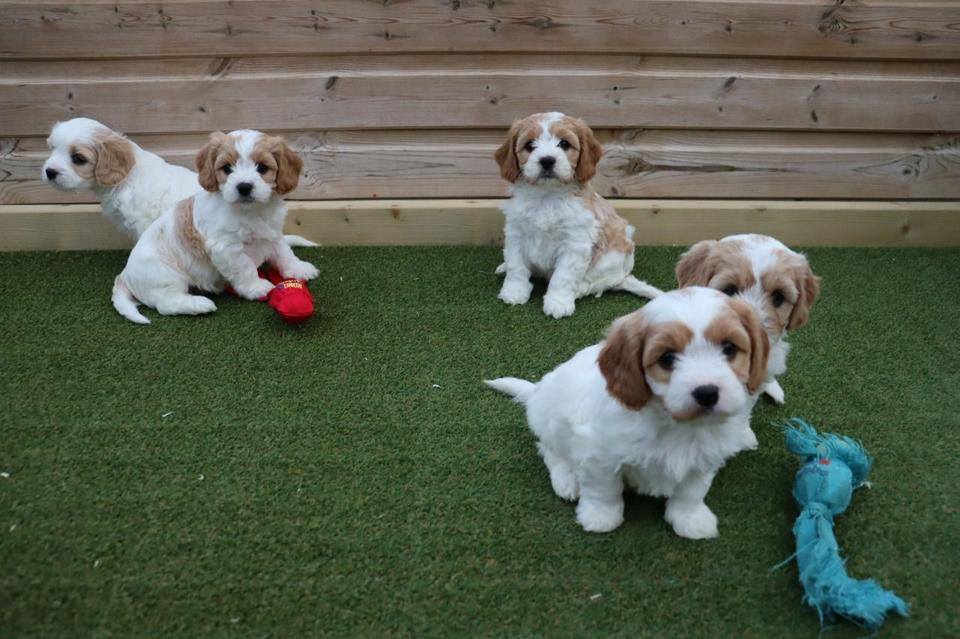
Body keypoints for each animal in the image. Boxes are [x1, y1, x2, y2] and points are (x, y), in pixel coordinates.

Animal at [113, 131, 320, 324]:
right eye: (227, 168)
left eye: (262, 167)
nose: (244, 186)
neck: (251, 212)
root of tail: (125, 274)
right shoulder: (227, 248)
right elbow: (245, 268)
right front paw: (256, 287)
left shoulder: (273, 234)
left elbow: (284, 253)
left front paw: (299, 268)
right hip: (165, 277)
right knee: (166, 304)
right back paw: (199, 304)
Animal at [488, 288, 764, 536]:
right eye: (667, 358)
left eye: (729, 348)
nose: (707, 393)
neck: (675, 424)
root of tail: (537, 391)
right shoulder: (598, 452)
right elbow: (604, 489)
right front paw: (600, 517)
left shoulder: (704, 458)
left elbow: (692, 491)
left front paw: (691, 520)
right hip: (550, 421)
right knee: (550, 451)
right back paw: (566, 479)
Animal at [496, 112, 660, 320]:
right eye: (530, 145)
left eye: (564, 144)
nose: (547, 160)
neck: (546, 196)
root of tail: (622, 277)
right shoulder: (516, 234)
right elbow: (516, 266)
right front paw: (514, 291)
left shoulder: (574, 243)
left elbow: (563, 276)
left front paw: (558, 302)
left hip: (609, 260)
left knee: (595, 285)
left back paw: (577, 290)